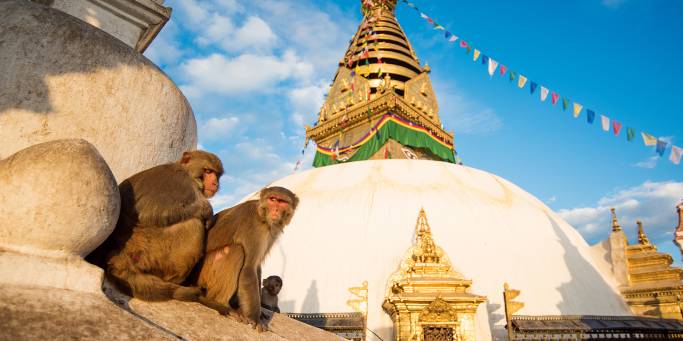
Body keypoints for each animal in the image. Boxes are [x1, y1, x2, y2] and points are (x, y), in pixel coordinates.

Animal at [88, 150, 224, 302]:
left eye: (216, 174)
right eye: (208, 171)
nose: (215, 183)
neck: (187, 172)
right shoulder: (182, 184)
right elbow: (150, 214)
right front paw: (206, 210)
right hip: (147, 253)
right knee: (193, 224)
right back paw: (173, 282)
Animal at [194, 186, 298, 330]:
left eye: (282, 202)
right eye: (273, 199)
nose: (276, 210)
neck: (262, 216)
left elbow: (257, 266)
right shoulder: (254, 227)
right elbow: (249, 268)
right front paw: (255, 318)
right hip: (204, 274)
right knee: (237, 251)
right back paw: (220, 303)